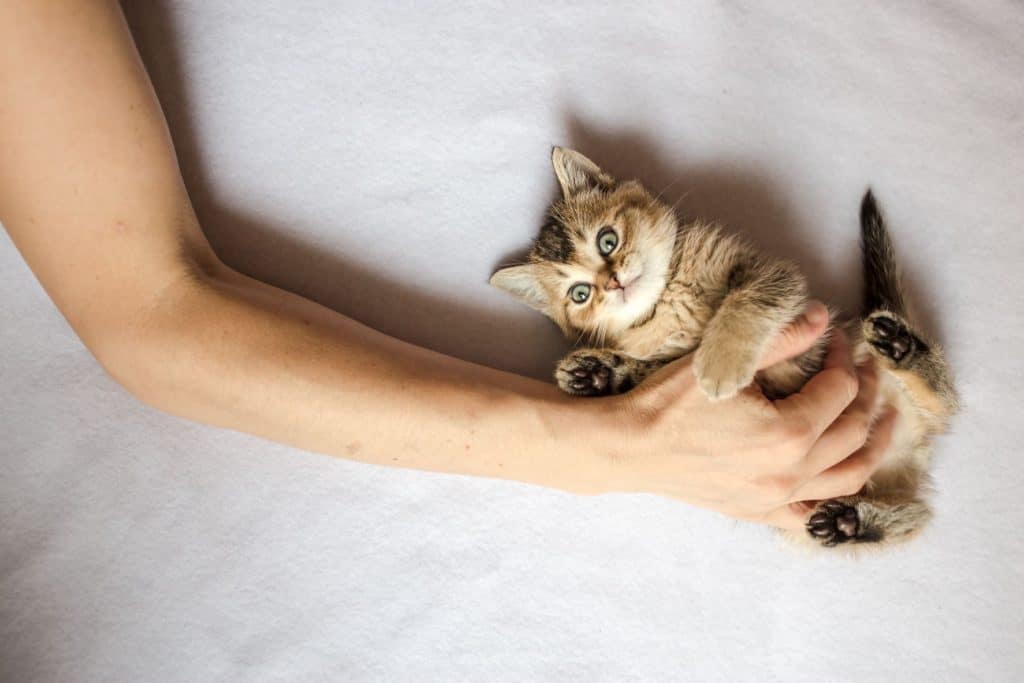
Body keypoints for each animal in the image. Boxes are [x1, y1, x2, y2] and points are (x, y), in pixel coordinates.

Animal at [491, 148, 954, 548]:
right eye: (580, 294)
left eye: (607, 240)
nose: (614, 283)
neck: (667, 298)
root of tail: (909, 446)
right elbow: (652, 369)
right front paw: (597, 373)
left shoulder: (776, 277)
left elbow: (746, 302)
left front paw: (722, 362)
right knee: (913, 516)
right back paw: (850, 522)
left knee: (945, 401)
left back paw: (901, 347)